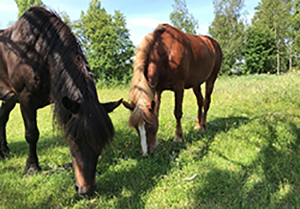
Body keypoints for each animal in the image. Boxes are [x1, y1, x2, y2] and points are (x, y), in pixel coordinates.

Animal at [0, 6, 122, 196]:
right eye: (73, 139)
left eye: (101, 143)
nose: (86, 190)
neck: (37, 51)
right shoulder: (26, 98)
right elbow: (31, 134)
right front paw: (32, 167)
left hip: (9, 98)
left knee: (2, 118)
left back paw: (4, 151)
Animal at [122, 23, 223, 156]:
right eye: (136, 128)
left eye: (149, 126)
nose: (146, 154)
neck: (166, 54)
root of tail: (212, 42)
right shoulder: (157, 90)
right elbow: (157, 111)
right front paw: (157, 142)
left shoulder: (179, 87)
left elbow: (177, 112)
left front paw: (178, 138)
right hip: (195, 83)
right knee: (200, 101)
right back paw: (197, 125)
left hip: (211, 79)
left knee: (206, 102)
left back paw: (203, 127)